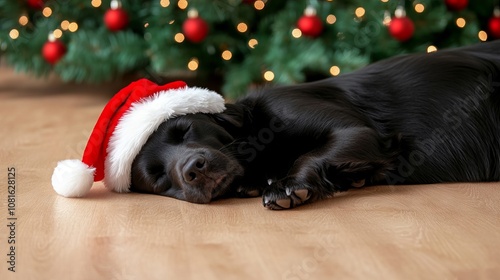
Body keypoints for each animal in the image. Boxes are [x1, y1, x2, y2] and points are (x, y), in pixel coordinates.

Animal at [130, 40, 500, 209]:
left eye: (185, 130)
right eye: (158, 177)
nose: (194, 170)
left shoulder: (356, 131)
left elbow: (308, 155)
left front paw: (287, 186)